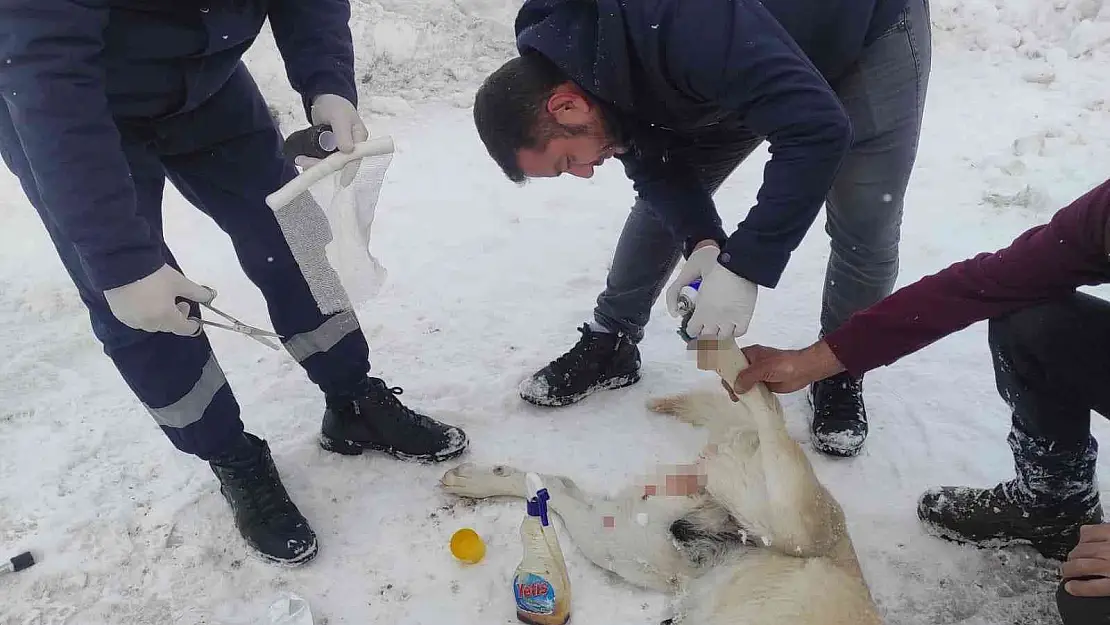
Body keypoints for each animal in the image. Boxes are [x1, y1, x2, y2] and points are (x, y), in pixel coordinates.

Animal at [437, 339, 879, 621]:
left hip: (628, 545)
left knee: (555, 489)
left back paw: (471, 480)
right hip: (791, 520)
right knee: (765, 402)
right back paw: (721, 346)